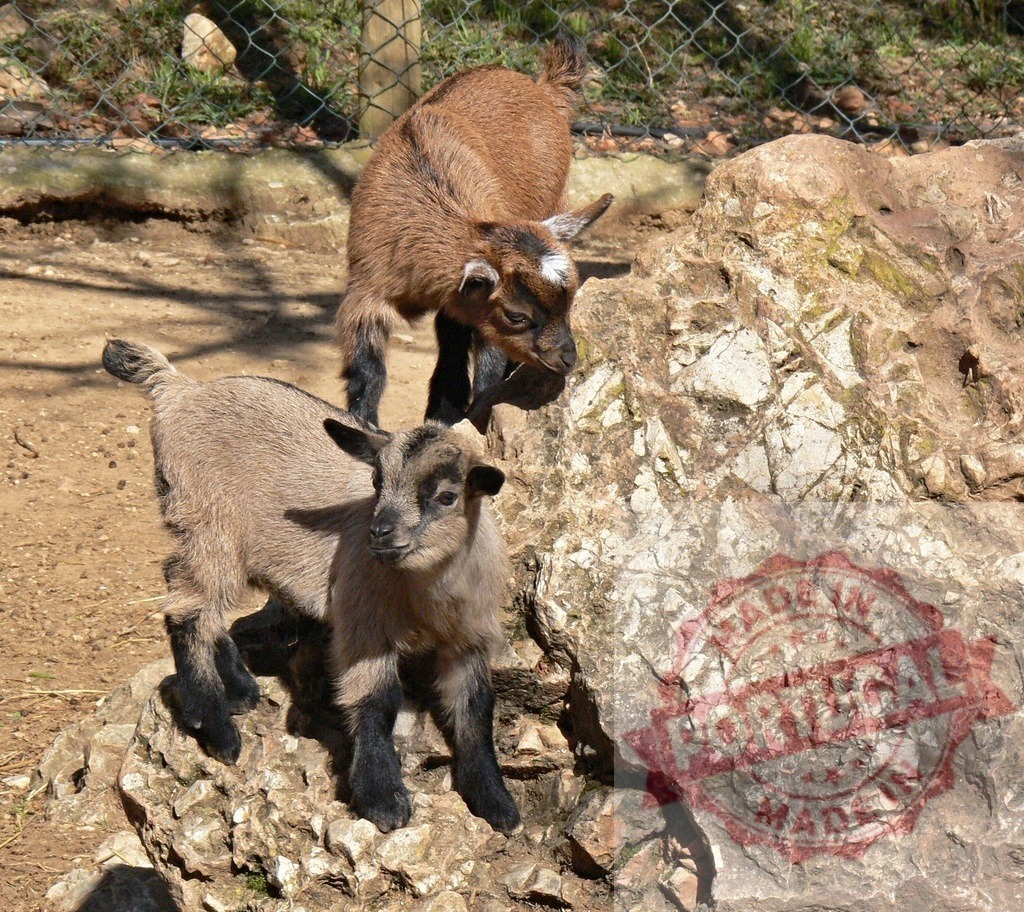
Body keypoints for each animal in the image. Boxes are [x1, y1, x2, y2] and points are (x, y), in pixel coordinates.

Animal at [102, 340, 520, 834]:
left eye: (447, 496)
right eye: (376, 482)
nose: (379, 533)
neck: (428, 596)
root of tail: (179, 389)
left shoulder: (470, 637)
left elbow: (475, 710)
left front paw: (495, 800)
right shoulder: (363, 624)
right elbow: (377, 701)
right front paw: (382, 797)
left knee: (188, 590)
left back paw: (240, 688)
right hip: (208, 522)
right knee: (186, 607)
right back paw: (217, 726)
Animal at [338, 32, 613, 427]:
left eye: (571, 301)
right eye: (517, 315)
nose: (567, 359)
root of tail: (545, 87)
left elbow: (485, 359)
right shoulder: (367, 290)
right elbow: (367, 373)